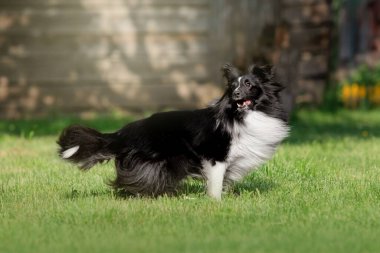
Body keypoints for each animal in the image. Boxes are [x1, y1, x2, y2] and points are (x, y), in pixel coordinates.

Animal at [57, 63, 288, 200]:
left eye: (249, 84)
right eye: (232, 87)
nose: (236, 94)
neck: (242, 114)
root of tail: (124, 132)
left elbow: (225, 181)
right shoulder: (216, 157)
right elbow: (216, 182)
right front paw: (216, 202)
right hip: (152, 160)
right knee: (132, 178)